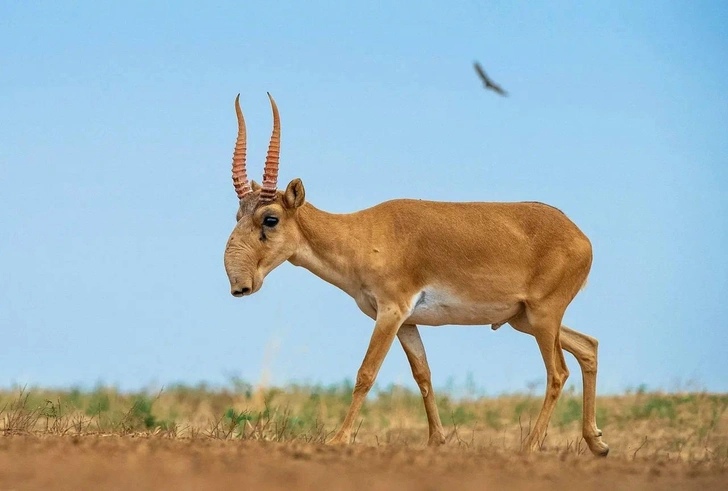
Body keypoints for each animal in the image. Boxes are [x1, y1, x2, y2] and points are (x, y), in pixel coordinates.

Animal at [225, 93, 612, 458]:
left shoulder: (390, 312)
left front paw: (338, 439)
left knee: (558, 372)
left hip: (544, 317)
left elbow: (366, 373)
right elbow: (423, 374)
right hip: (524, 319)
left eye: (270, 218)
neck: (363, 234)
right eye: (238, 215)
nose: (239, 285)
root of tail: (581, 237)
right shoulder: (407, 321)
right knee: (588, 346)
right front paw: (436, 440)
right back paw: (597, 443)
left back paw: (531, 447)